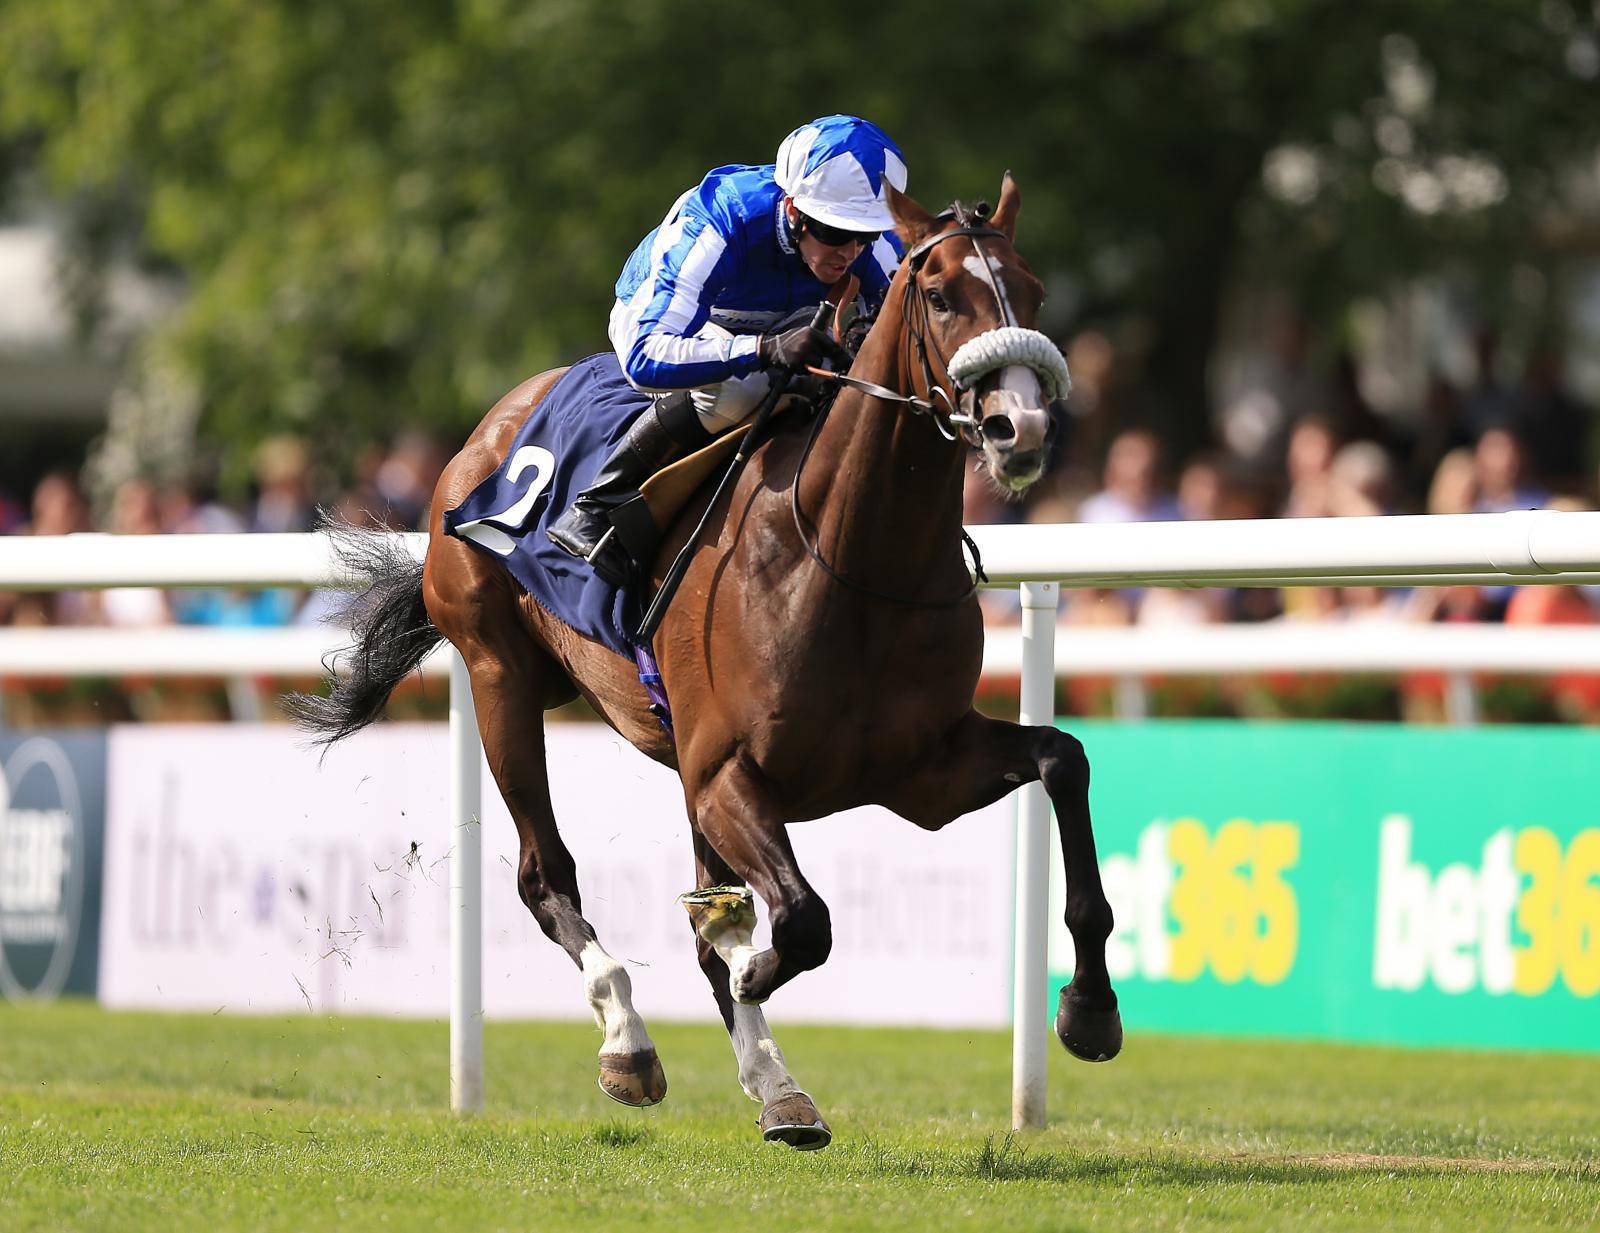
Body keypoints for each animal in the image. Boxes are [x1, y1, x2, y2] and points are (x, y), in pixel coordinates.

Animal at [300, 178, 1126, 1151]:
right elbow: (802, 923)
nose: (1019, 425)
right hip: (500, 673)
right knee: (546, 872)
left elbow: (1063, 759)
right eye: (940, 293)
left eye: (1032, 290)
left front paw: (1089, 1009)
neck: (850, 562)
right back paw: (629, 1039)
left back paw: (778, 1084)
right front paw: (749, 965)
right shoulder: (729, 768)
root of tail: (487, 428)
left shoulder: (923, 771)